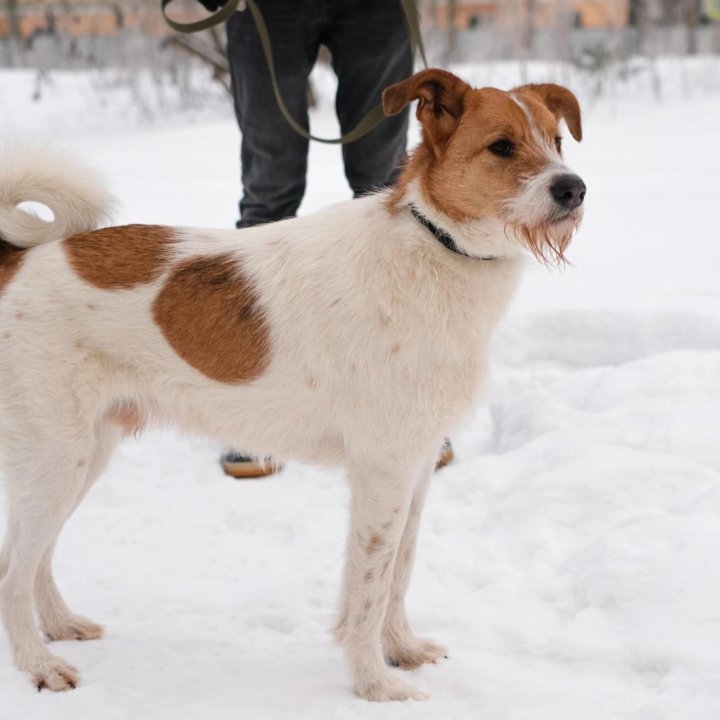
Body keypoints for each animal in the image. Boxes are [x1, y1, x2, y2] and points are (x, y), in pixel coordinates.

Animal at [0, 70, 584, 700]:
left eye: (557, 142)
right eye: (501, 146)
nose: (574, 189)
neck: (434, 247)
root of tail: (18, 261)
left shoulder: (419, 465)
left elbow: (399, 573)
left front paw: (401, 651)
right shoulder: (381, 471)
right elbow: (369, 588)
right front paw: (375, 684)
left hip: (85, 455)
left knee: (37, 558)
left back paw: (61, 625)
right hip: (56, 458)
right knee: (13, 570)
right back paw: (39, 664)